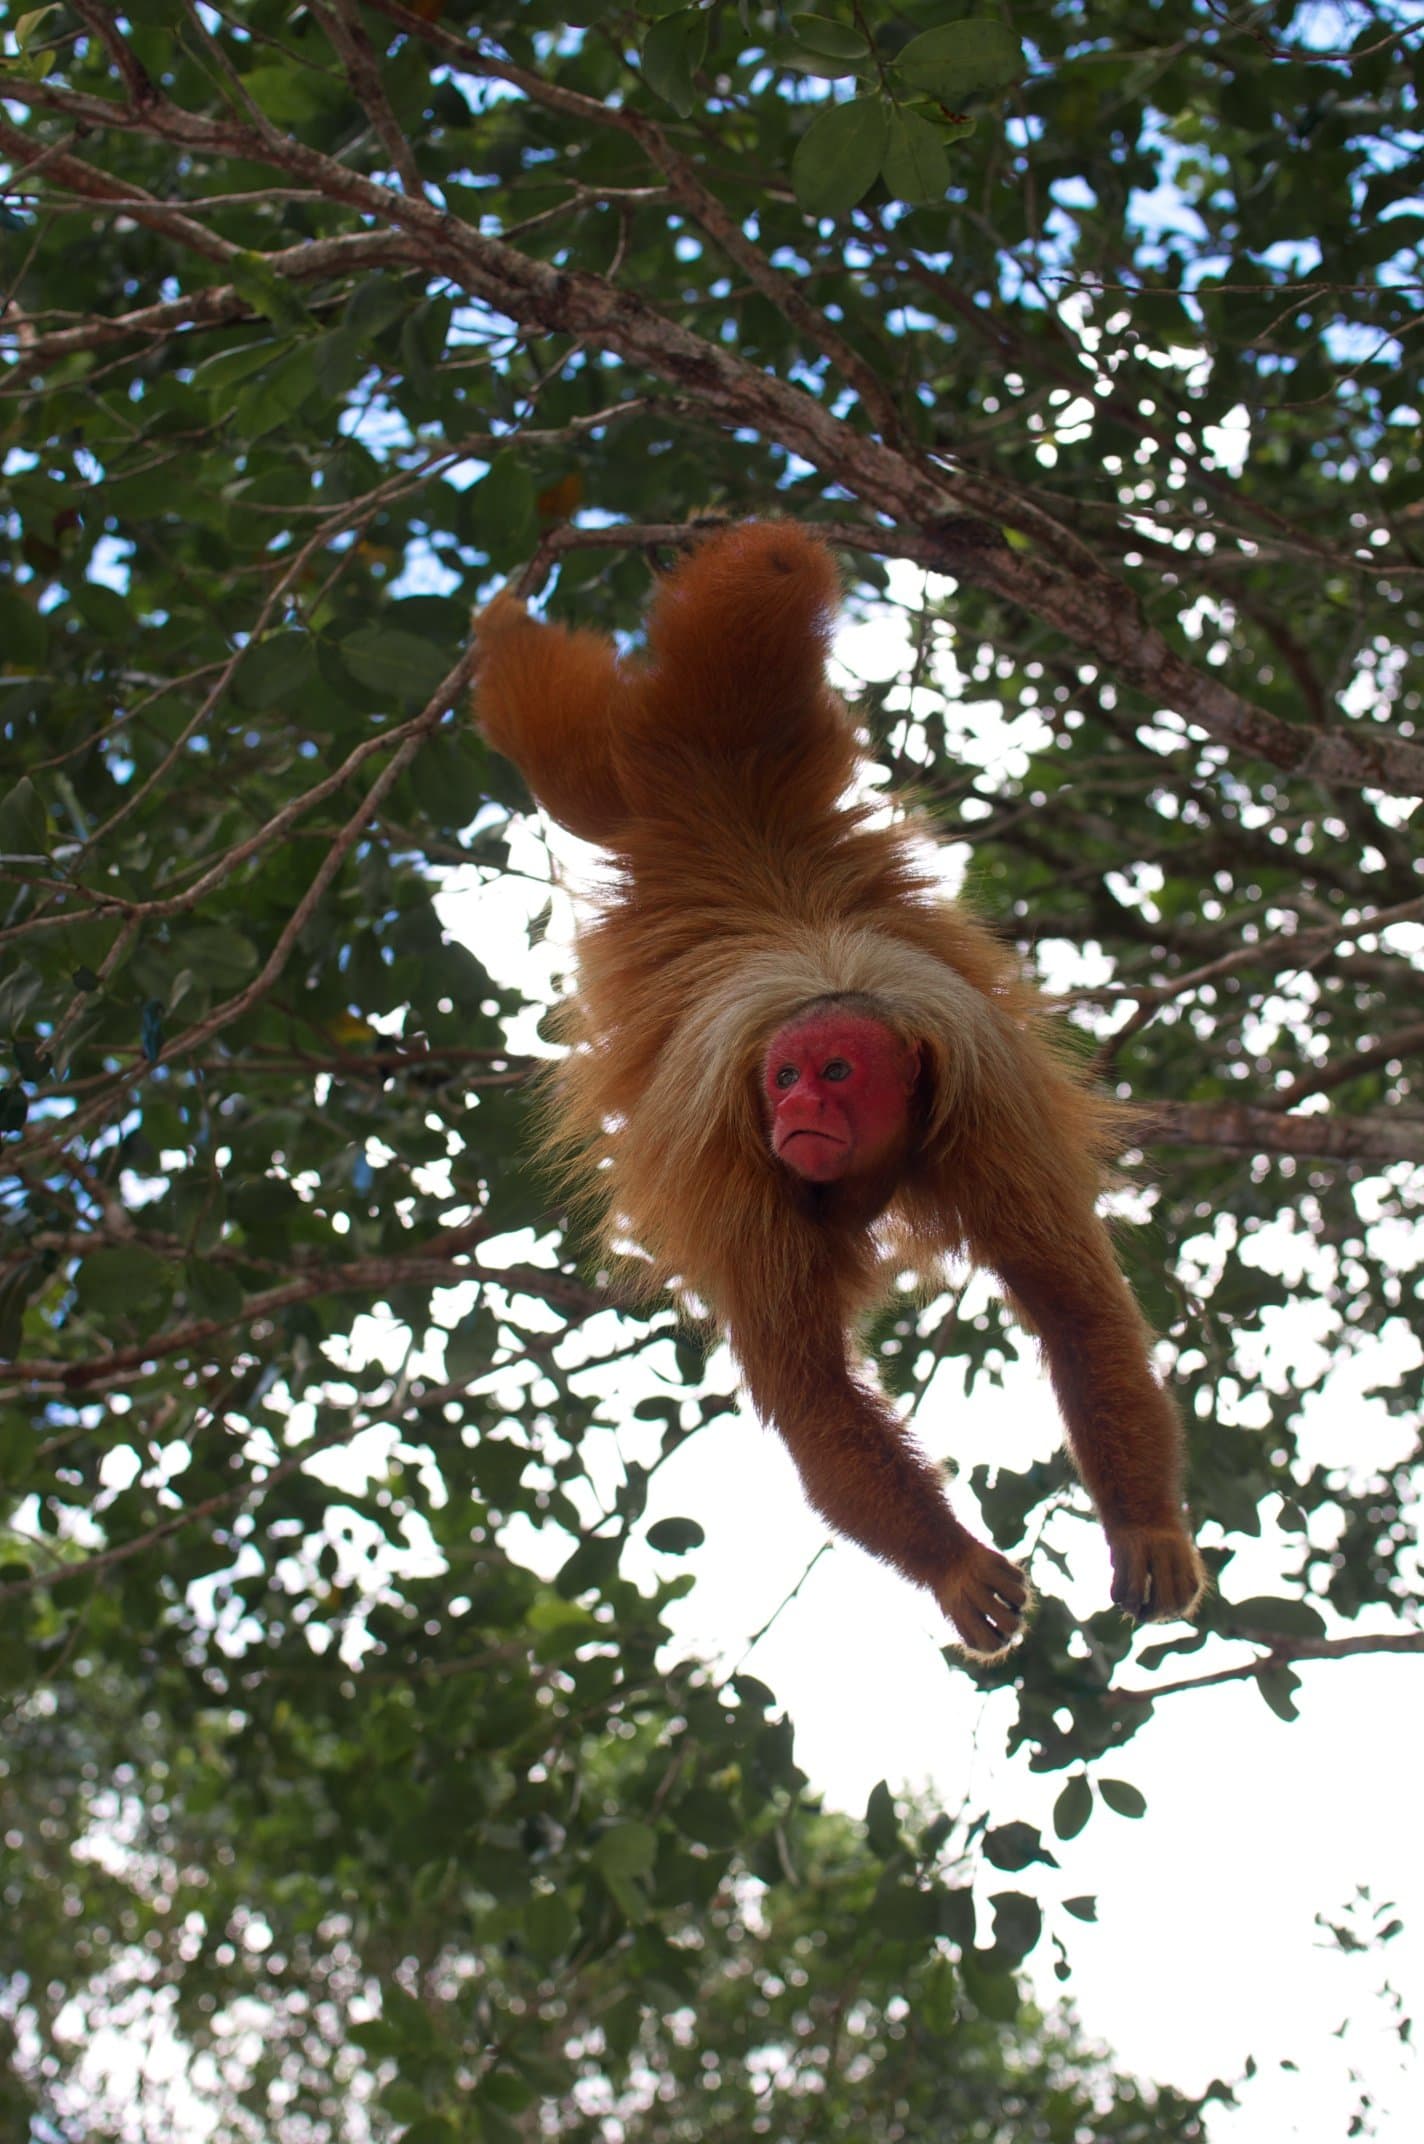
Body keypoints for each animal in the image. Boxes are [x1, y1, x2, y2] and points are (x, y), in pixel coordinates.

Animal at [473, 522, 1206, 1657]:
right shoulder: (737, 1171)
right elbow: (810, 1390)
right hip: (642, 780)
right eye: (782, 1077)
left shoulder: (990, 1123)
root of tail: (717, 781)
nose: (797, 1113)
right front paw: (952, 1564)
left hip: (769, 745)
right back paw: (506, 629)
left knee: (726, 637)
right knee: (560, 758)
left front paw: (1145, 1525)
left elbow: (1079, 1313)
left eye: (834, 1072)